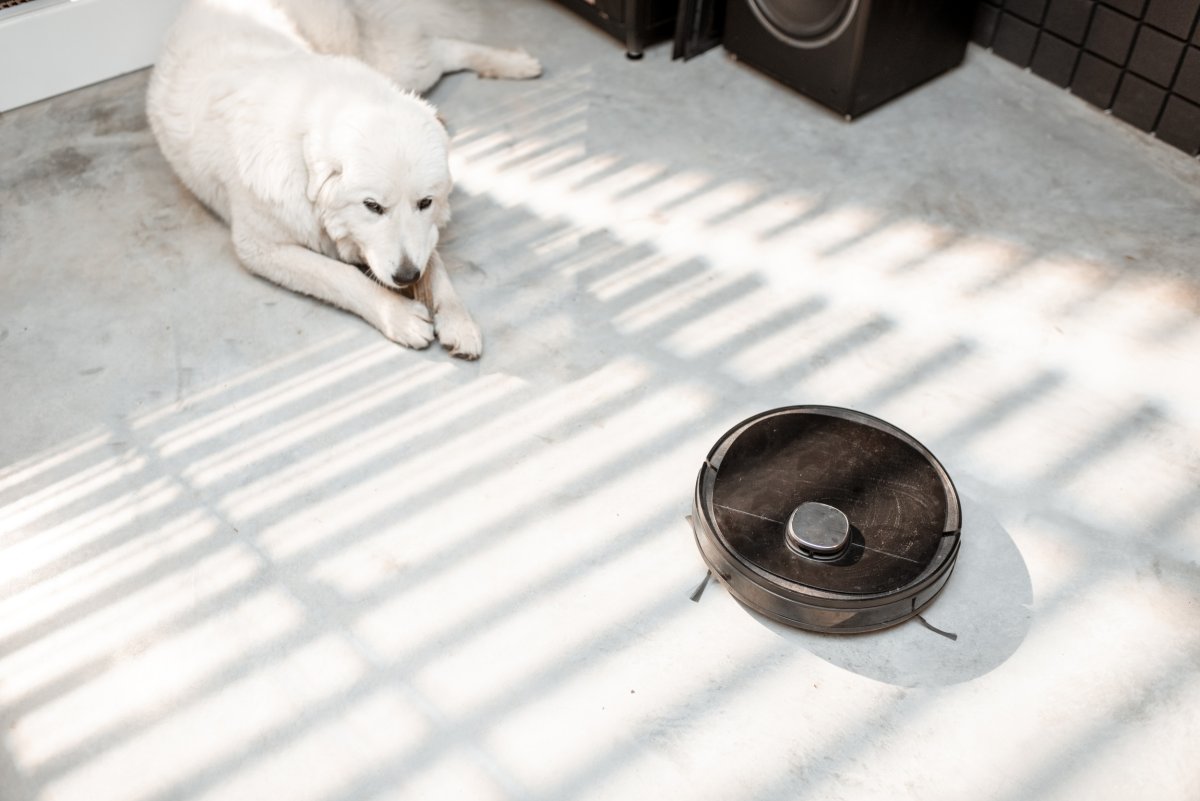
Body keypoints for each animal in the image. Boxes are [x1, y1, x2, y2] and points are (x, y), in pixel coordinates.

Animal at [146, 0, 544, 357]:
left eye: (425, 202)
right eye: (372, 206)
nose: (405, 277)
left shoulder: (421, 237)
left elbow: (436, 267)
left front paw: (458, 321)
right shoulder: (260, 249)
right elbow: (340, 277)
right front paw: (398, 314)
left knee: (441, 49)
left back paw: (514, 63)